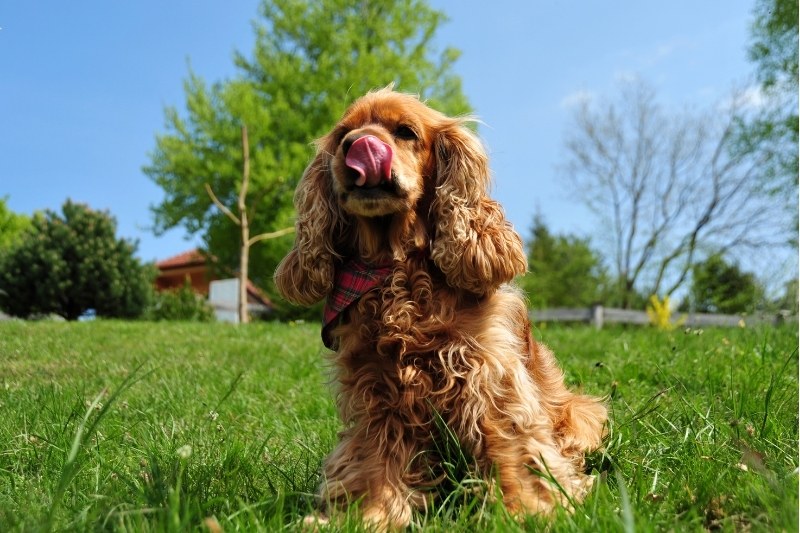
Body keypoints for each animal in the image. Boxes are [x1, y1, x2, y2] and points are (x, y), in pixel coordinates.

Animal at [276, 88, 608, 528]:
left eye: (405, 132)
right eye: (342, 134)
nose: (356, 146)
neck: (397, 267)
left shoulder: (488, 372)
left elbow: (512, 443)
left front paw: (525, 511)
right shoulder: (375, 387)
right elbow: (373, 459)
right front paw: (365, 515)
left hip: (581, 412)